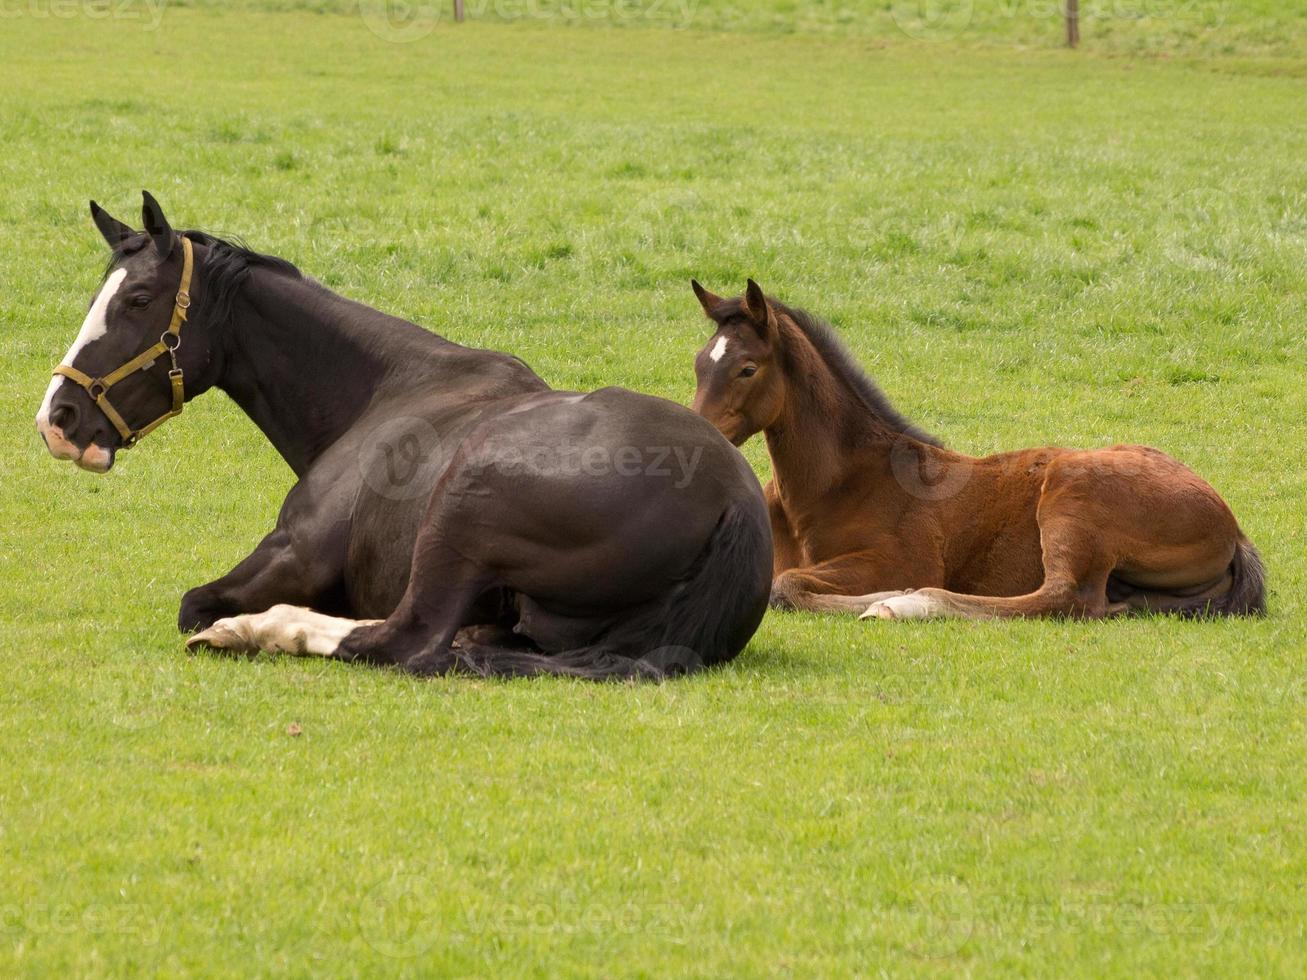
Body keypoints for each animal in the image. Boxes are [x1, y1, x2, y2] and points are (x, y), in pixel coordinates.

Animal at [35, 194, 768, 679]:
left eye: (138, 300)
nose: (58, 418)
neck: (387, 389)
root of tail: (732, 501)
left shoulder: (292, 554)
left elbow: (193, 604)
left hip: (459, 513)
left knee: (405, 641)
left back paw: (261, 630)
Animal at [690, 278, 1259, 621]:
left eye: (747, 369)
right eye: (700, 361)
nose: (699, 434)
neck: (839, 483)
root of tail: (1232, 527)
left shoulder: (899, 558)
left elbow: (787, 585)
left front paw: (893, 597)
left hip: (1073, 493)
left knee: (1064, 597)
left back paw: (909, 604)